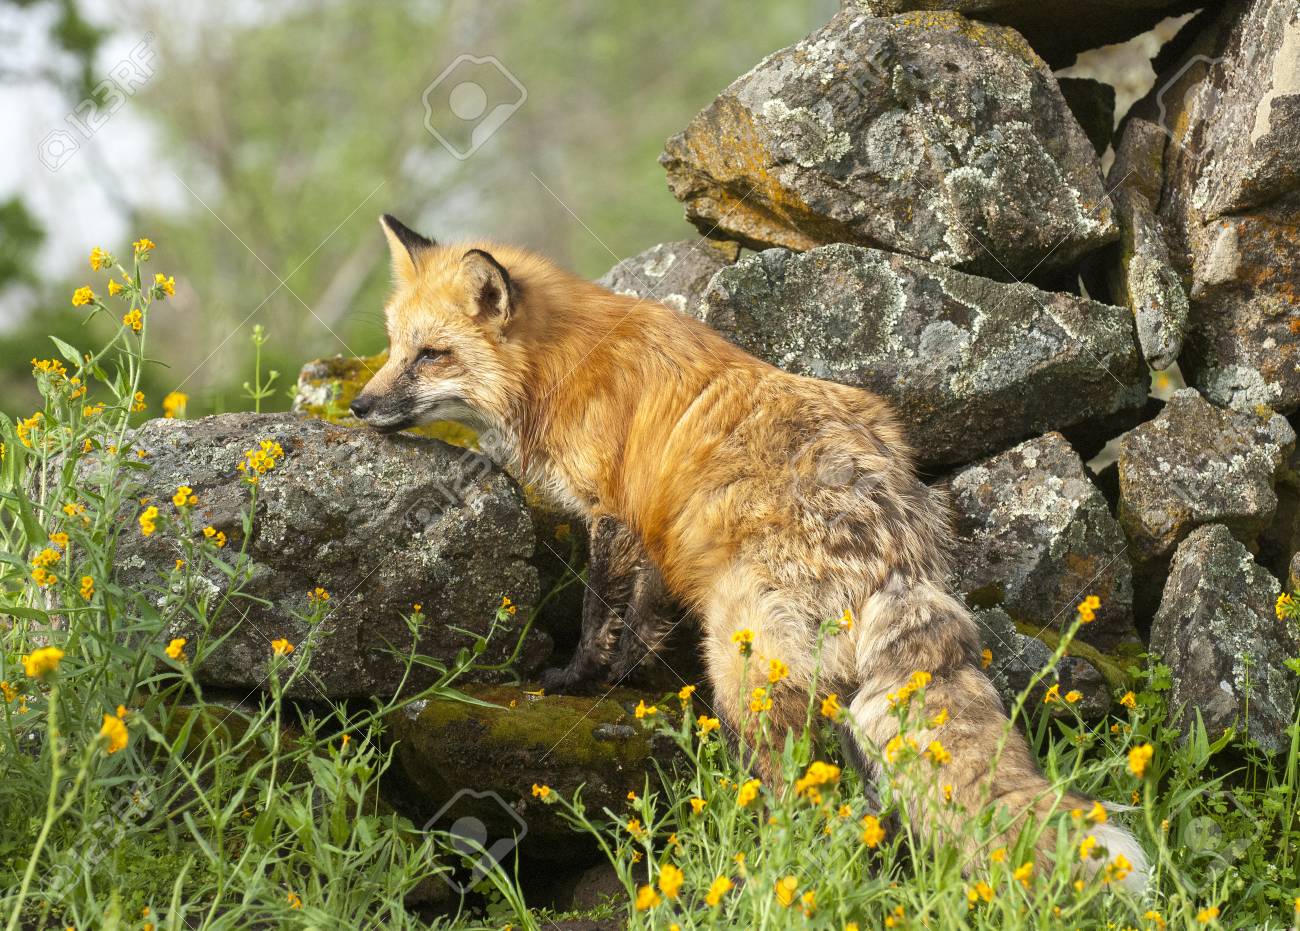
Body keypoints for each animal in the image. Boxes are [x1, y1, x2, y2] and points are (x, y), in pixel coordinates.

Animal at [350, 214, 1148, 890]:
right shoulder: (658, 535)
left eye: (432, 356)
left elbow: (598, 616)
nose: (358, 406)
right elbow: (642, 620)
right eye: (394, 348)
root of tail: (901, 554)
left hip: (740, 673)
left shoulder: (613, 516)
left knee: (804, 804)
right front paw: (631, 675)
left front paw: (573, 681)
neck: (564, 368)